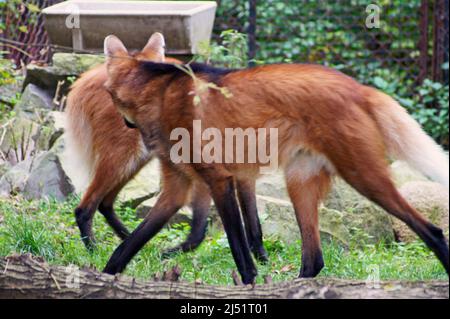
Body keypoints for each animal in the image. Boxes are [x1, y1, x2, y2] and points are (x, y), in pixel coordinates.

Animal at [100, 34, 448, 284]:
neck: (156, 94)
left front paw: (250, 282)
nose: (127, 126)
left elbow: (239, 246)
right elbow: (130, 243)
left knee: (431, 230)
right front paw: (105, 276)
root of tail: (360, 88)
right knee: (314, 258)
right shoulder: (178, 187)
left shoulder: (219, 179)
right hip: (300, 181)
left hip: (362, 174)